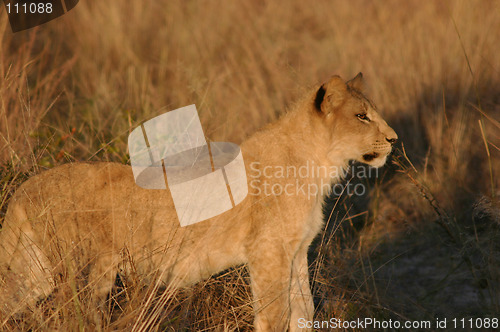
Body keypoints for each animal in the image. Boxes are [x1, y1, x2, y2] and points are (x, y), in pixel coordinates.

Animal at [0, 74, 398, 330]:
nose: (394, 139)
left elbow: (304, 311)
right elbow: (275, 315)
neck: (319, 165)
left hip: (35, 273)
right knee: (74, 316)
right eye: (362, 116)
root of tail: (26, 186)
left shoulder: (297, 251)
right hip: (86, 271)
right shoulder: (268, 251)